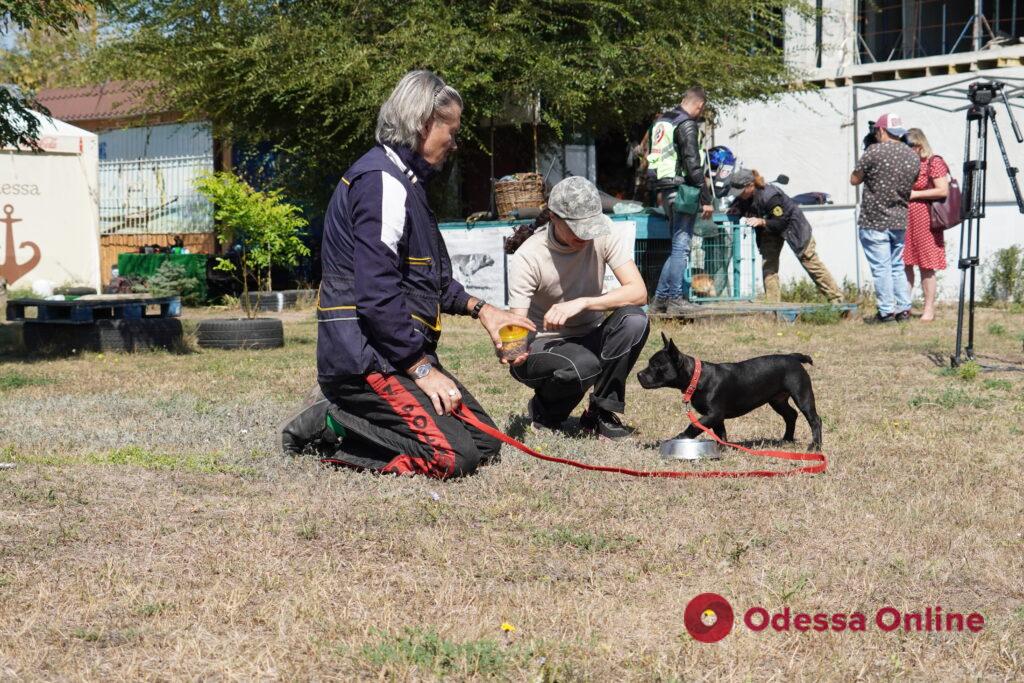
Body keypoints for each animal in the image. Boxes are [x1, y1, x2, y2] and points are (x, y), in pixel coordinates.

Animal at [634, 335, 819, 448]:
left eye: (656, 365)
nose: (638, 374)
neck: (696, 377)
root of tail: (793, 357)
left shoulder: (713, 414)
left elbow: (693, 426)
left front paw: (677, 439)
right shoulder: (716, 417)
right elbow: (720, 433)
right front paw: (723, 448)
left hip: (802, 396)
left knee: (814, 420)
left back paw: (815, 446)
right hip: (777, 400)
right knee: (791, 415)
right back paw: (787, 439)